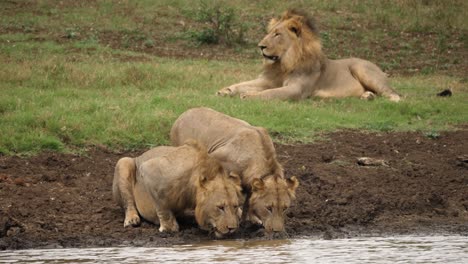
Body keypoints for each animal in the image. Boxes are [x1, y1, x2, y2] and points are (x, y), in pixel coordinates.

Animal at [112, 140, 243, 237]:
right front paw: (168, 227)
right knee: (128, 203)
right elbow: (162, 206)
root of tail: (139, 156)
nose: (232, 228)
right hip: (123, 162)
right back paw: (132, 219)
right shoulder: (149, 169)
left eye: (235, 206)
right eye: (220, 207)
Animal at [170, 107, 298, 233]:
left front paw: (250, 220)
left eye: (285, 208)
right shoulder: (215, 158)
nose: (277, 231)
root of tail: (184, 113)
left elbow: (248, 201)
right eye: (269, 208)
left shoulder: (251, 183)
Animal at [218, 9, 400, 102]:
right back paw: (367, 96)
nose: (260, 46)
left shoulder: (296, 89)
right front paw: (226, 90)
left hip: (362, 69)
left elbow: (270, 93)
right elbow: (243, 84)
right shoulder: (267, 80)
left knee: (394, 94)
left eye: (277, 34)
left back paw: (390, 100)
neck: (284, 64)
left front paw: (248, 95)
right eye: (269, 33)